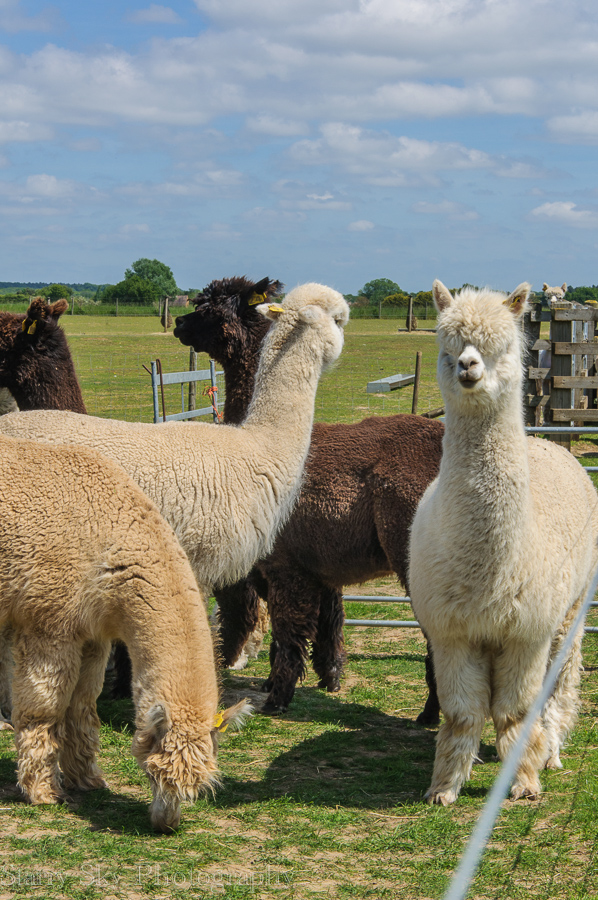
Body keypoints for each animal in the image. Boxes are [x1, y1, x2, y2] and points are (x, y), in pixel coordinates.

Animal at [0, 433, 249, 832]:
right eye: (152, 774)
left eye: (198, 787)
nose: (166, 826)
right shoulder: (48, 622)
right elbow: (45, 709)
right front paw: (42, 791)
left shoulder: (92, 634)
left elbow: (82, 704)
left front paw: (87, 779)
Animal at [173, 276, 444, 717]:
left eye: (210, 310)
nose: (179, 323)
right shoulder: (319, 564)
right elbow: (328, 622)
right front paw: (326, 677)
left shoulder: (287, 564)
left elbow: (290, 632)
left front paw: (278, 696)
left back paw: (431, 712)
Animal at [408, 280, 598, 806]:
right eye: (448, 344)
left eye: (504, 345)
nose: (468, 366)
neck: (489, 571)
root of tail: (547, 442)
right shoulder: (452, 631)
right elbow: (462, 712)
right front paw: (444, 787)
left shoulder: (526, 632)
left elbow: (515, 711)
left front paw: (525, 782)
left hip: (570, 612)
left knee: (561, 680)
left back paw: (551, 750)